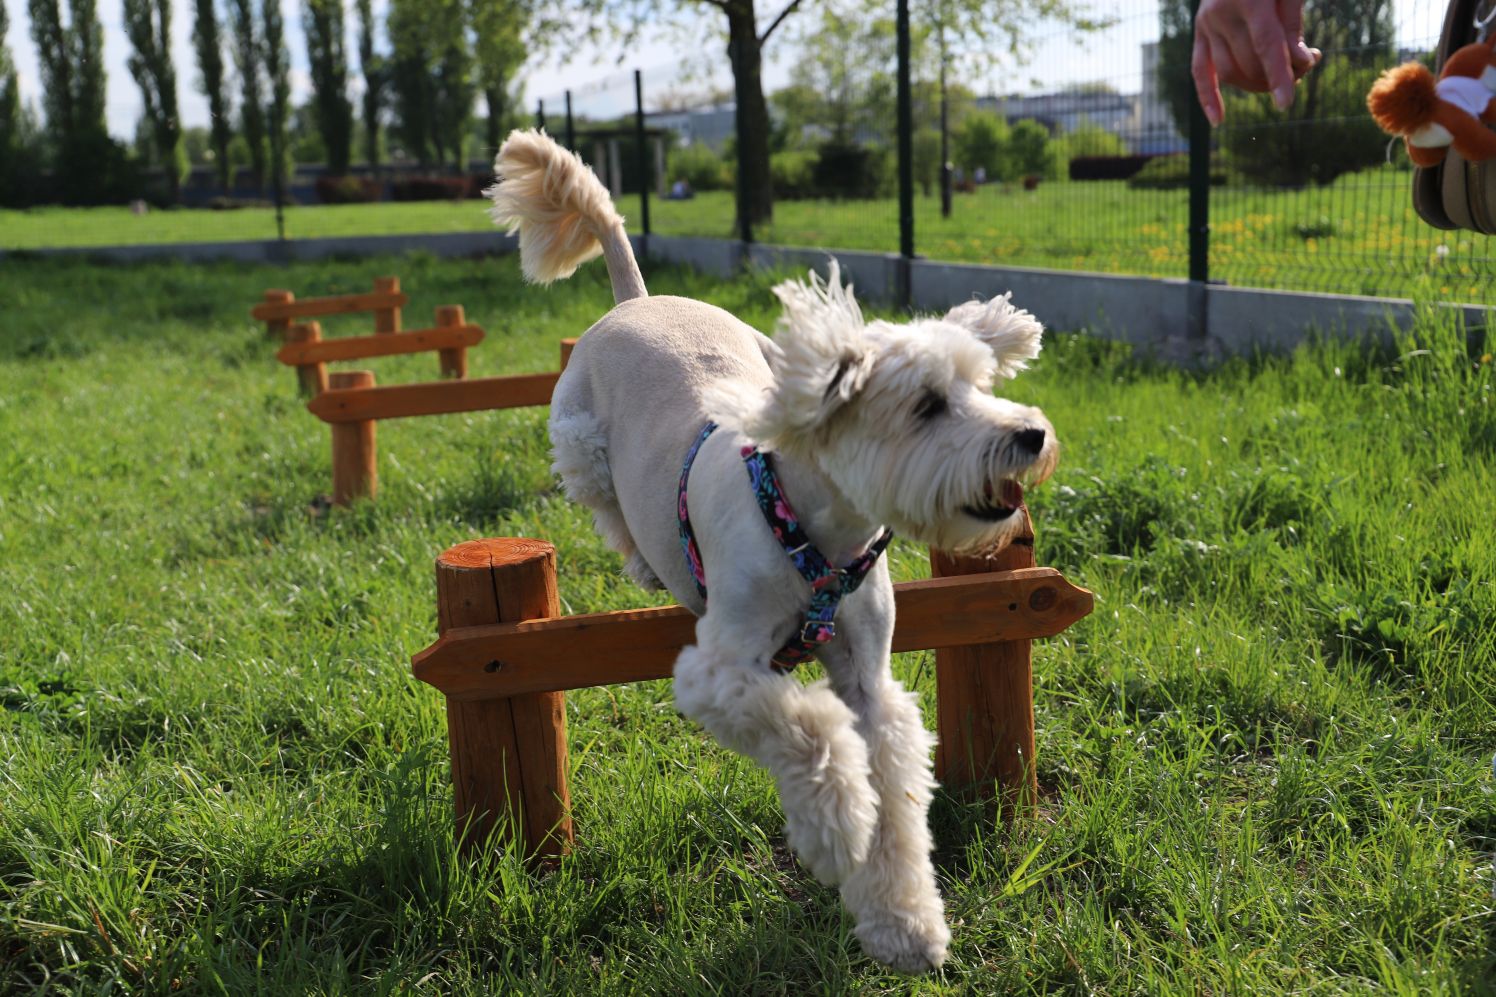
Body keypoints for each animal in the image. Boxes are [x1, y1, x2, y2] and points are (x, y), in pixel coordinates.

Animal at [484, 126, 1059, 970]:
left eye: (981, 386)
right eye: (927, 405)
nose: (1031, 435)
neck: (812, 530)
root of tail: (638, 299)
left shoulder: (871, 678)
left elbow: (892, 790)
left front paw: (904, 923)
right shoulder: (721, 665)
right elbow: (809, 729)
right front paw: (839, 829)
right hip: (578, 437)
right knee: (608, 505)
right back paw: (641, 557)